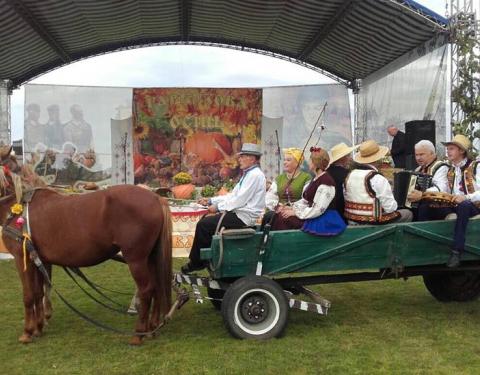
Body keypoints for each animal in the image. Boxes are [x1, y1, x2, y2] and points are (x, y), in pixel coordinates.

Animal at [0, 148, 172, 346]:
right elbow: (38, 293)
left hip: (136, 259)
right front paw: (38, 327)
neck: (20, 206)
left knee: (146, 290)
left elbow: (28, 295)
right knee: (157, 286)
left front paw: (27, 331)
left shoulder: (22, 259)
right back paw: (152, 327)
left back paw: (139, 333)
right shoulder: (37, 259)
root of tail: (156, 197)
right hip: (150, 256)